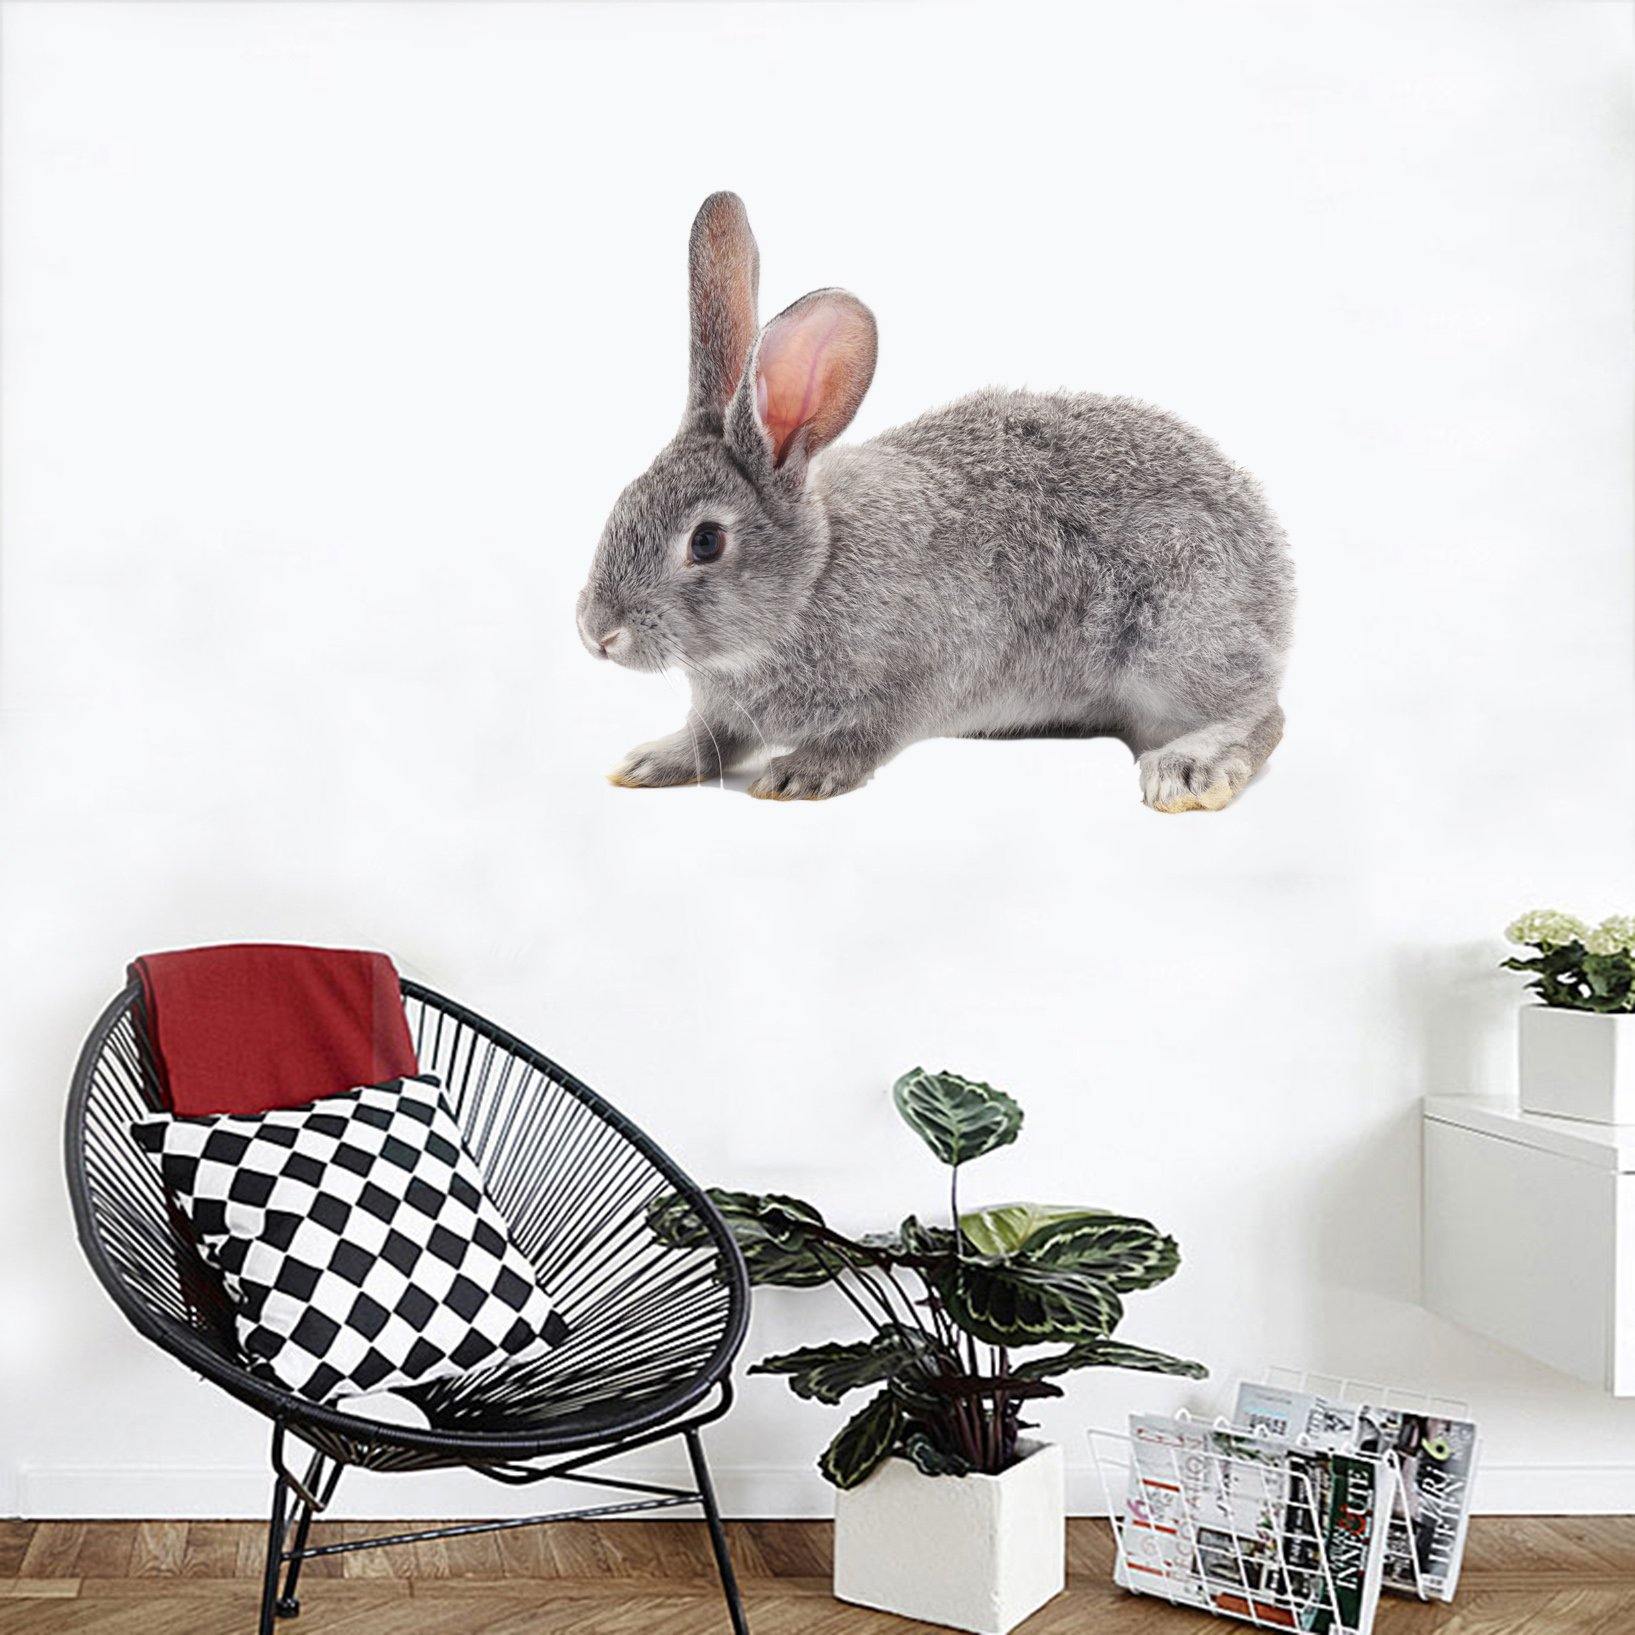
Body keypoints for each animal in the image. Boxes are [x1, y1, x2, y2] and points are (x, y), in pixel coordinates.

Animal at [577, 192, 1293, 809]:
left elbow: (865, 737)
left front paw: (801, 774)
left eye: (706, 541)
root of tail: (1274, 586)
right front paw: (653, 761)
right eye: (623, 501)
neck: (812, 576)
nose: (596, 633)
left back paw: (1190, 769)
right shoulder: (725, 710)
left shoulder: (915, 677)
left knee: (1260, 712)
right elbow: (711, 737)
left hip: (1175, 642)